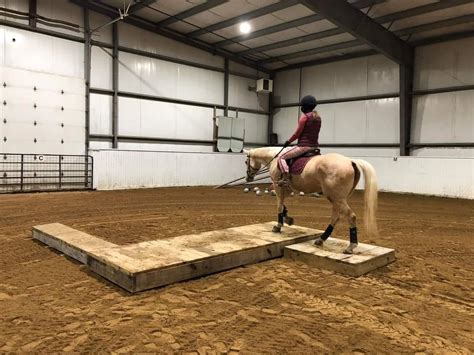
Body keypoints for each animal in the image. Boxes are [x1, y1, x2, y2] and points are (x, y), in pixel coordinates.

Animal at [244, 148, 378, 256]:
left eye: (246, 162)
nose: (248, 178)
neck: (275, 157)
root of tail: (350, 161)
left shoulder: (278, 187)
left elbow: (279, 206)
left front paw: (278, 226)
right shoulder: (286, 189)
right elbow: (283, 206)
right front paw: (288, 219)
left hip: (337, 198)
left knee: (351, 216)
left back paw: (350, 247)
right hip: (337, 199)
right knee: (336, 217)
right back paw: (321, 239)